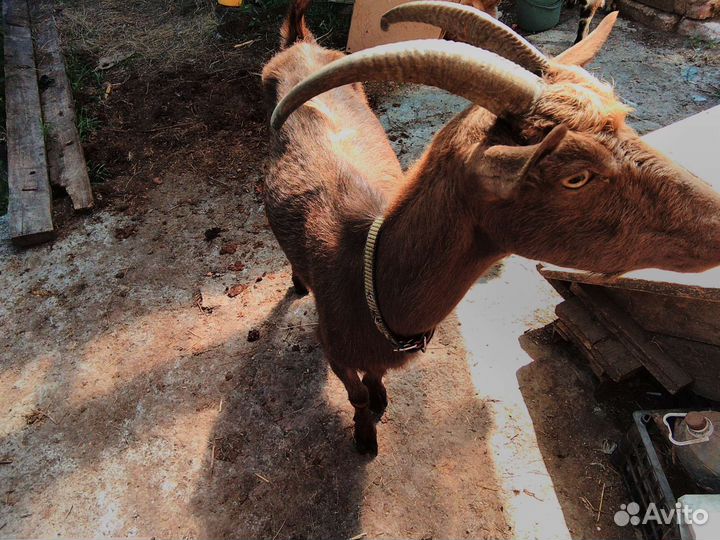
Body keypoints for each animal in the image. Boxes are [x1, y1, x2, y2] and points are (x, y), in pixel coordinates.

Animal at [263, 1, 720, 455]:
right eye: (576, 176)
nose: (717, 223)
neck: (363, 274)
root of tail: (301, 44)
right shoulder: (333, 349)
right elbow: (355, 394)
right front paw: (365, 436)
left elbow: (375, 377)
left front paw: (380, 400)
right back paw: (298, 282)